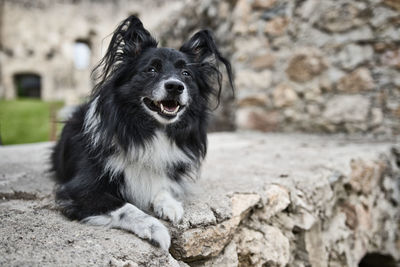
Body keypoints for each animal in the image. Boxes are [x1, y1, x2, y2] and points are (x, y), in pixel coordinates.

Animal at [50, 15, 233, 251]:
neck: (149, 129)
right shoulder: (80, 190)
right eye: (151, 70)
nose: (176, 86)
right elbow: (126, 207)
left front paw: (170, 205)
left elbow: (160, 186)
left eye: (186, 74)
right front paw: (156, 229)